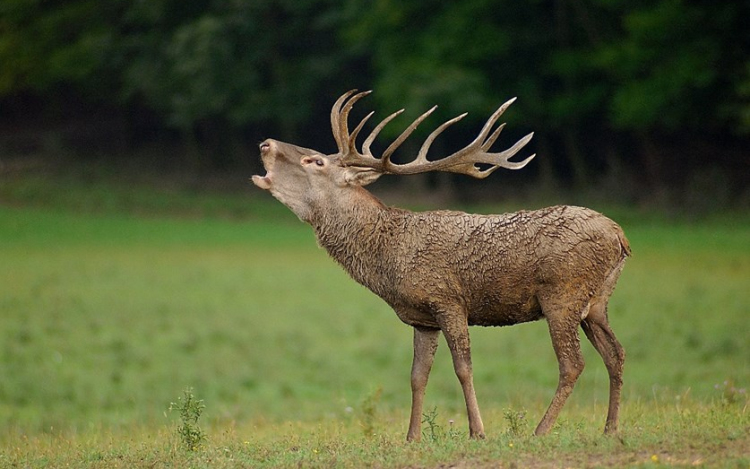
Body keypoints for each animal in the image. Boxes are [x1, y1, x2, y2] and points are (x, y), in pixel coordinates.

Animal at [251, 88, 628, 438]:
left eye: (316, 161)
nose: (266, 143)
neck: (388, 260)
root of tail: (620, 236)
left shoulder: (448, 300)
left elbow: (463, 367)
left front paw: (477, 432)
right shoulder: (422, 319)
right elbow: (418, 376)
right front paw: (412, 437)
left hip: (563, 294)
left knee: (573, 363)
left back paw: (541, 430)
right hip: (596, 303)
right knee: (616, 353)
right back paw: (610, 428)